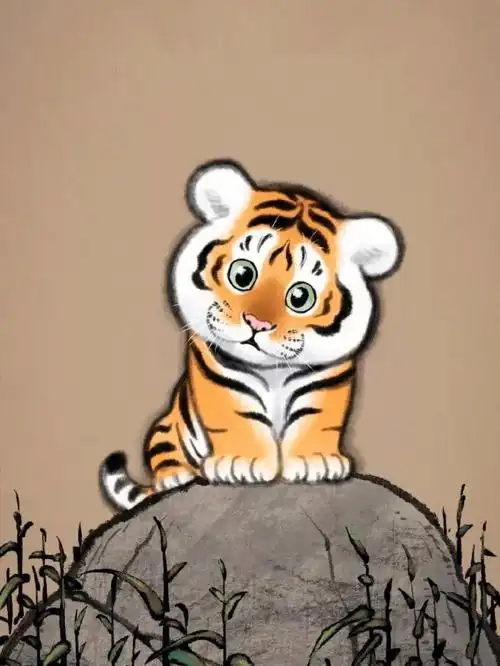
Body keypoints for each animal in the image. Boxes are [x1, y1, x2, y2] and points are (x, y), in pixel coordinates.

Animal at [99, 158, 403, 511]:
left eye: (300, 297)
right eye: (242, 275)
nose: (257, 324)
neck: (271, 371)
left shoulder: (328, 379)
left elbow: (315, 416)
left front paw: (315, 461)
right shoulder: (219, 376)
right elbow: (238, 416)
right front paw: (241, 463)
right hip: (165, 428)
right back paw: (175, 478)